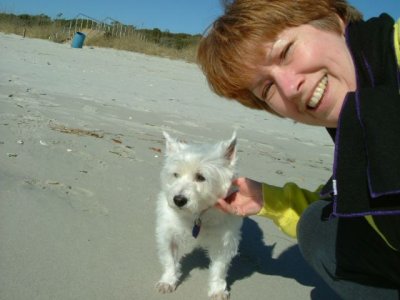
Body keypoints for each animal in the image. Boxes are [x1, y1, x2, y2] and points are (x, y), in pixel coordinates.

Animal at [155, 132, 242, 298]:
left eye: (201, 177)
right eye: (175, 174)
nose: (178, 200)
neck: (197, 215)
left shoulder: (224, 242)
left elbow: (219, 268)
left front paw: (217, 290)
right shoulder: (168, 233)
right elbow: (169, 260)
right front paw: (168, 281)